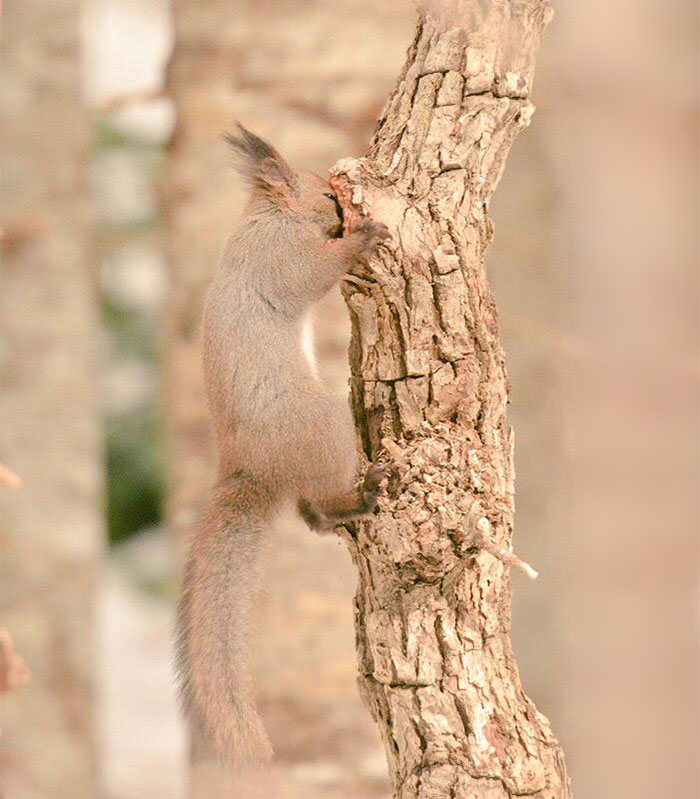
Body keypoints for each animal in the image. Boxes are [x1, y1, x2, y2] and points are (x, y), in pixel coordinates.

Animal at [175, 125, 392, 768]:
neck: (267, 215)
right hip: (323, 426)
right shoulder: (280, 255)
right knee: (323, 503)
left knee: (309, 513)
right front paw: (362, 241)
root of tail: (251, 468)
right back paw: (362, 496)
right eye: (325, 195)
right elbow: (309, 276)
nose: (345, 215)